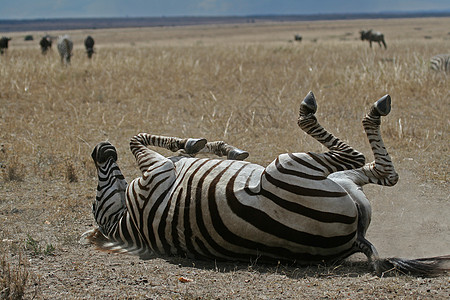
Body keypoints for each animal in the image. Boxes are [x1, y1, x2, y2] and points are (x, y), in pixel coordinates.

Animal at [81, 92, 450, 276]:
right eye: (97, 199)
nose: (99, 148)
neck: (125, 223)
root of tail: (357, 241)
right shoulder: (154, 174)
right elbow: (136, 138)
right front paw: (196, 143)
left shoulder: (159, 171)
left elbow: (157, 143)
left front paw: (219, 148)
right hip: (290, 166)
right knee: (372, 163)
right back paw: (335, 110)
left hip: (338, 181)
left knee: (385, 172)